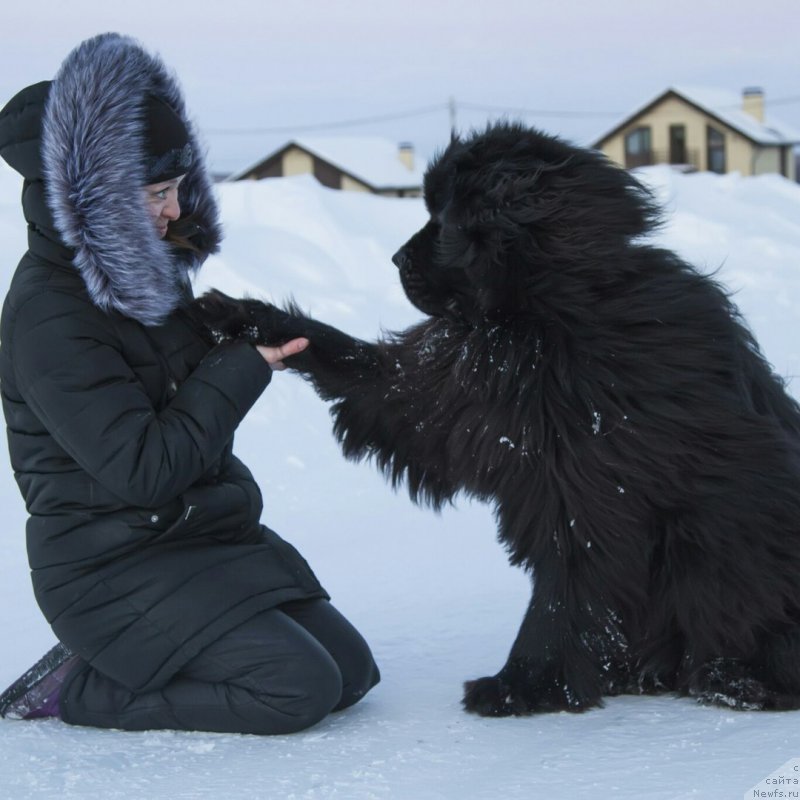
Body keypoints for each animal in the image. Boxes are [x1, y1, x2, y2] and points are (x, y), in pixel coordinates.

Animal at [194, 123, 800, 712]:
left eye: (442, 221)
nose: (395, 259)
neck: (537, 319)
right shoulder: (440, 391)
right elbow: (356, 362)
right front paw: (244, 318)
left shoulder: (582, 490)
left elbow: (561, 590)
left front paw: (521, 684)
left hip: (716, 554)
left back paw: (735, 679)